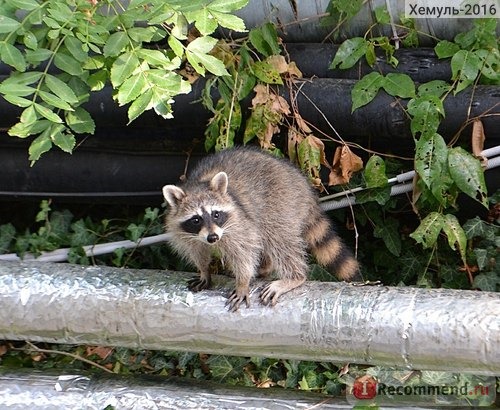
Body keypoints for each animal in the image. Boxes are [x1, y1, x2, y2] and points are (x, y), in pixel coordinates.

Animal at [162, 147, 362, 310]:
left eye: (216, 214)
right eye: (196, 219)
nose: (213, 238)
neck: (198, 184)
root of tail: (304, 188)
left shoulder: (238, 223)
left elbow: (244, 251)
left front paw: (242, 282)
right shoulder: (184, 232)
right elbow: (196, 250)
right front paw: (204, 269)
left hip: (282, 202)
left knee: (277, 237)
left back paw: (294, 276)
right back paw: (266, 267)